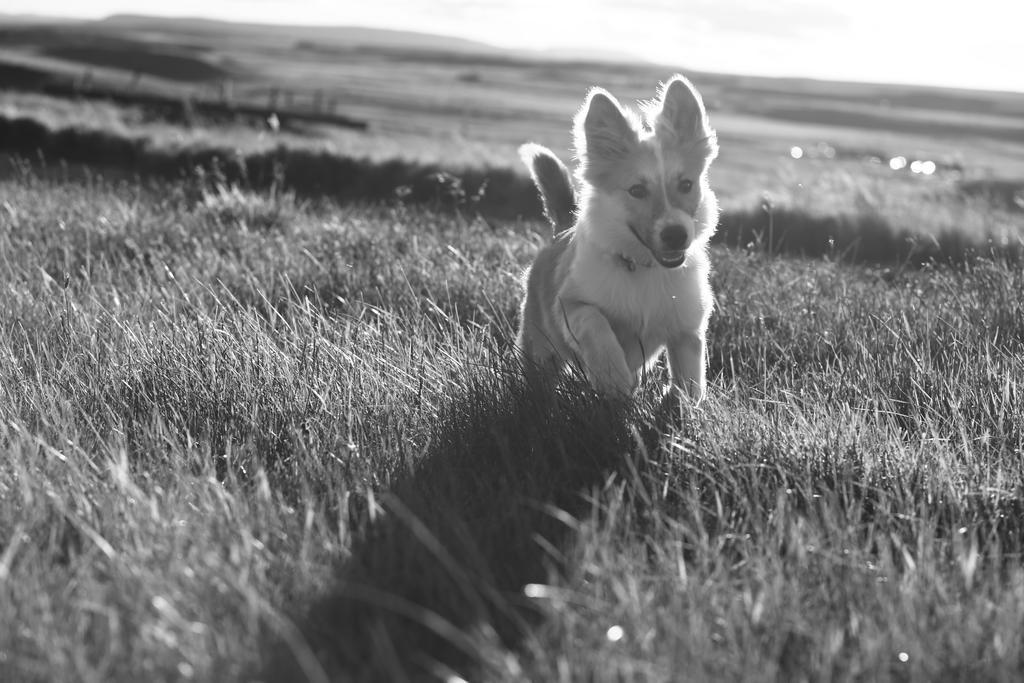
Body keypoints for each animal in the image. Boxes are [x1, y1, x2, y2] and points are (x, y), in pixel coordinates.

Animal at [516, 75, 716, 403]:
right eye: (637, 190)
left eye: (686, 184)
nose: (676, 235)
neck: (643, 267)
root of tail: (561, 231)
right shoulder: (570, 304)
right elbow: (595, 323)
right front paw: (613, 377)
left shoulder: (687, 327)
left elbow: (690, 379)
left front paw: (681, 405)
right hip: (541, 345)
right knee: (538, 373)